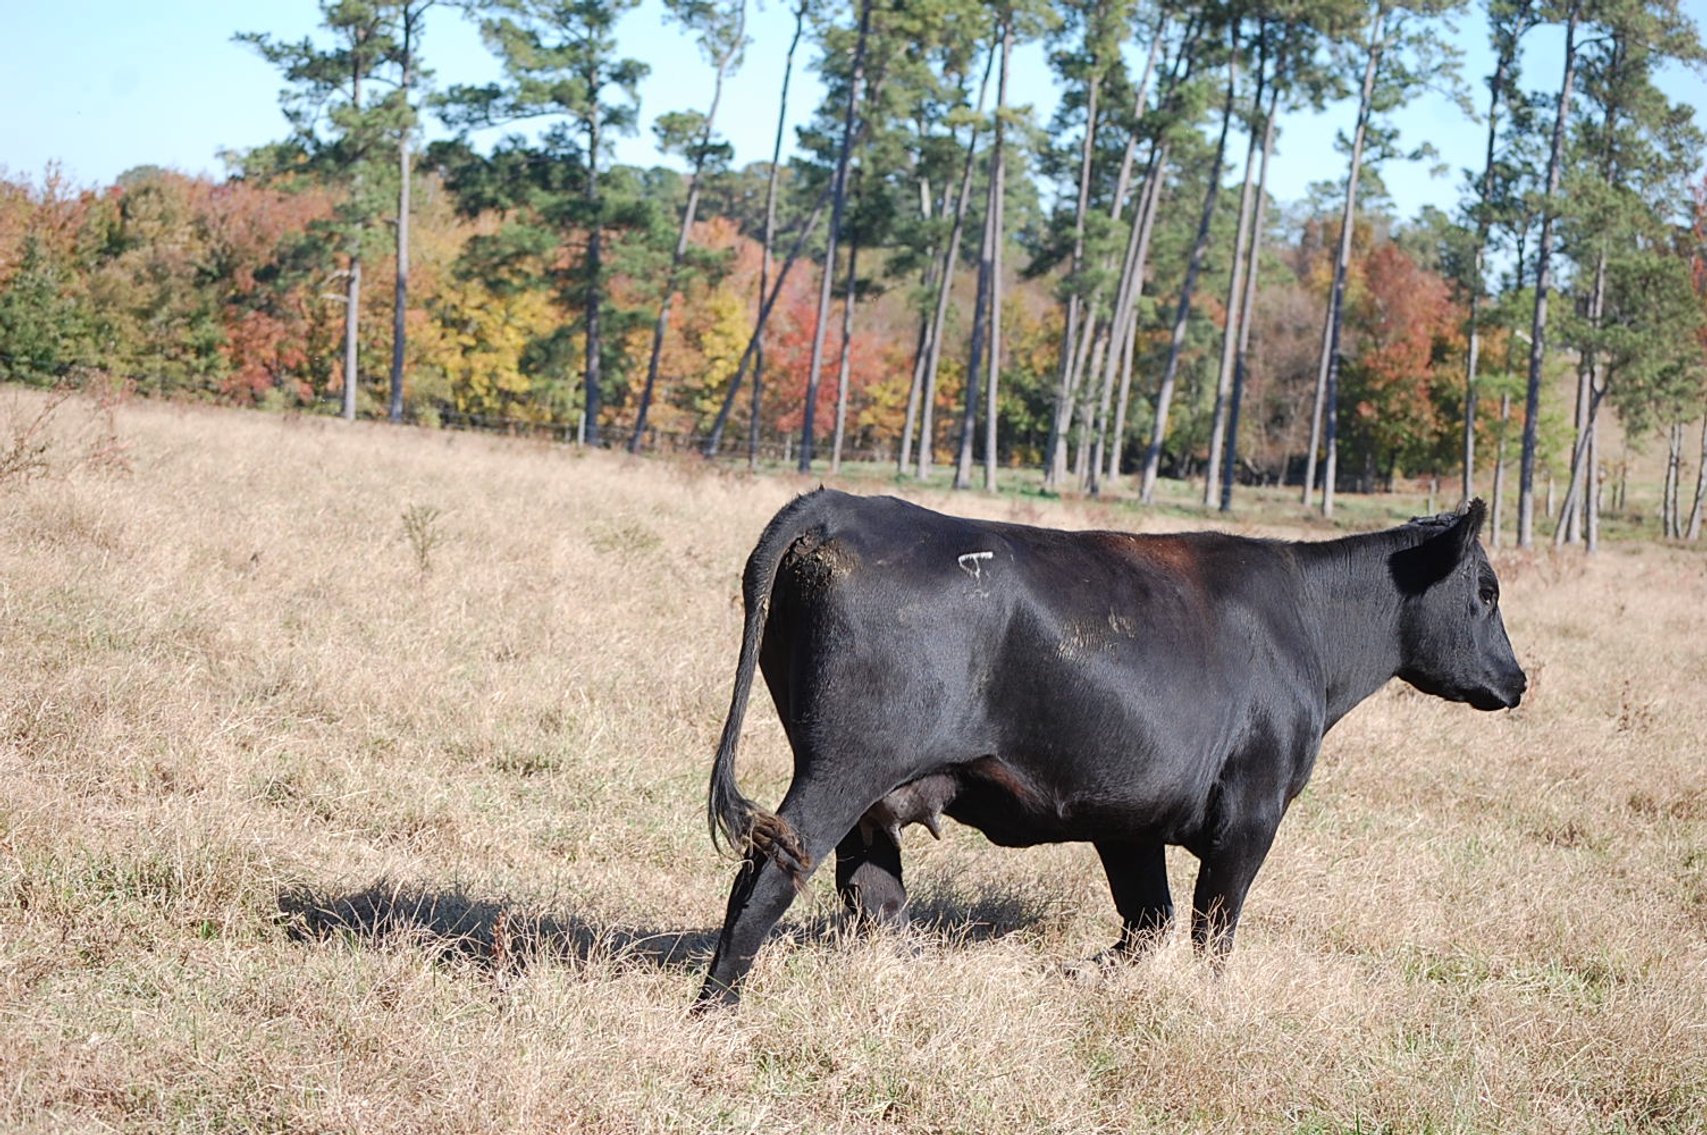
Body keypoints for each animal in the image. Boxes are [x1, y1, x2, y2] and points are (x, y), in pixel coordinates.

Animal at [695, 489, 1525, 1008]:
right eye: (1485, 592)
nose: (1516, 679)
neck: (1306, 627)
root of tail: (842, 503)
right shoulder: (1251, 811)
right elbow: (1210, 930)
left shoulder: (1128, 817)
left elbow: (1147, 919)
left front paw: (1088, 976)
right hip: (841, 767)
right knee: (764, 883)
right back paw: (716, 1013)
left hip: (870, 793)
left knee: (874, 894)